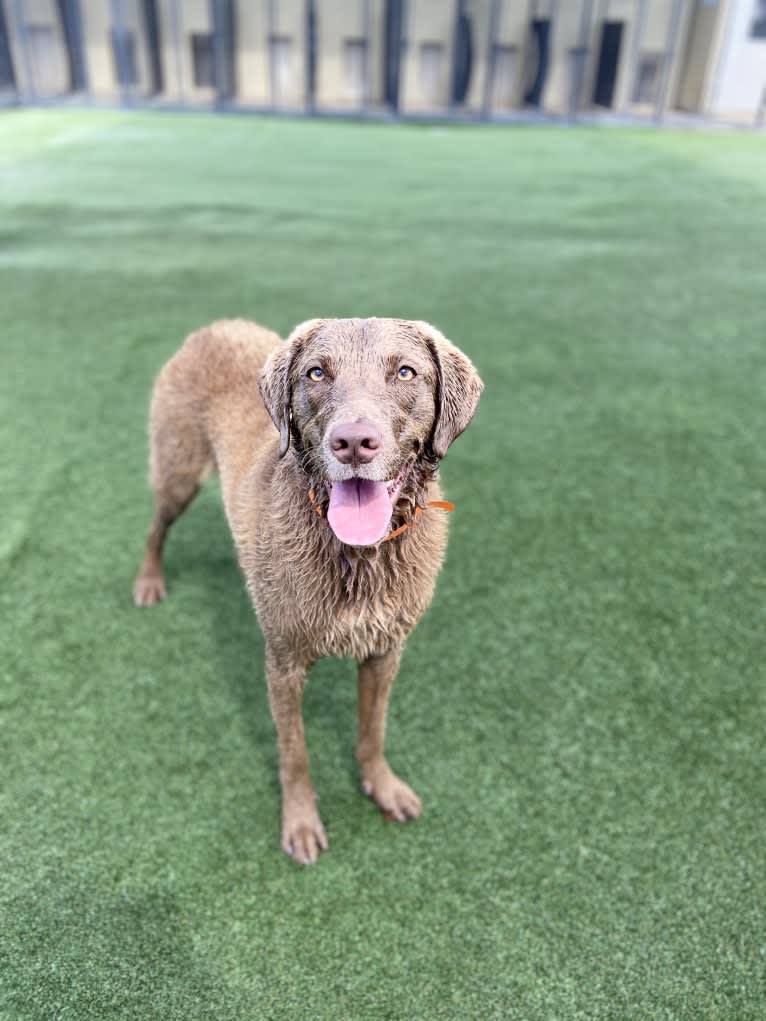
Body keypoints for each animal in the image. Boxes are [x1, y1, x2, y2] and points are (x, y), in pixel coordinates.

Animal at [131, 318, 480, 861]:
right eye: (316, 372)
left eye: (405, 372)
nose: (353, 442)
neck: (358, 554)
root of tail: (215, 326)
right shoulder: (283, 663)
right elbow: (294, 752)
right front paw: (300, 824)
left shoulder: (385, 651)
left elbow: (372, 731)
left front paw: (383, 787)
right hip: (178, 469)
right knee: (156, 524)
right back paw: (149, 581)